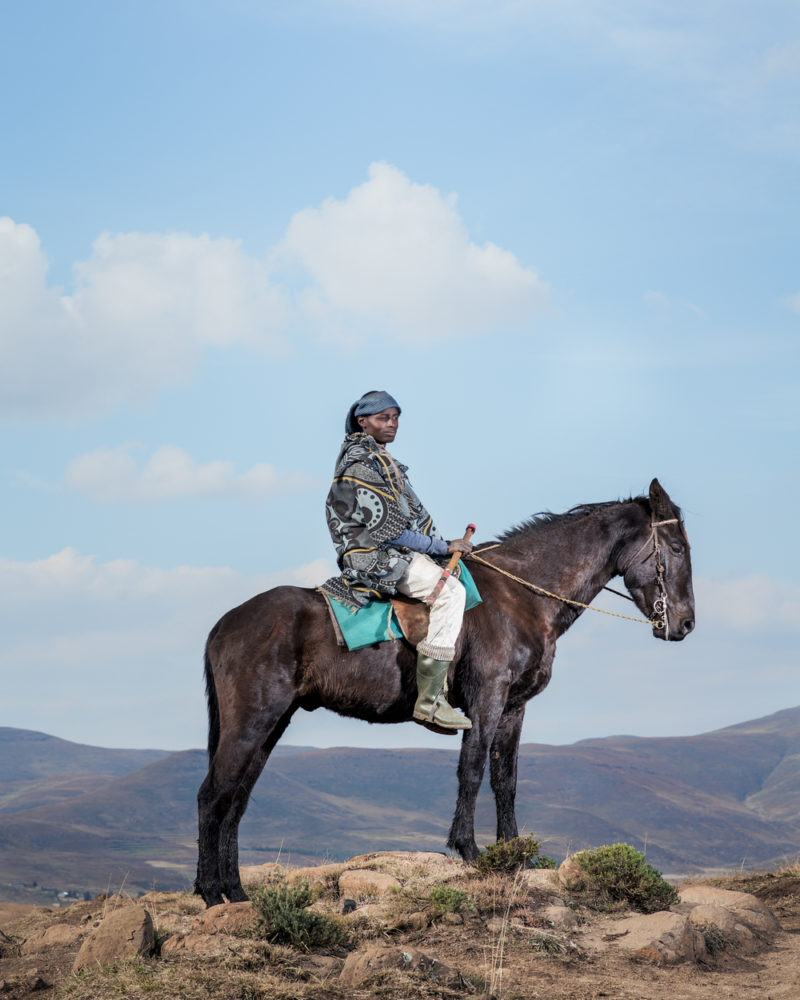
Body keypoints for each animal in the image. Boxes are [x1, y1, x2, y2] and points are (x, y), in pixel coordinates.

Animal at [195, 476, 692, 908]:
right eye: (677, 547)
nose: (685, 624)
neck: (521, 598)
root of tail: (224, 623)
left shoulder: (513, 708)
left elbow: (506, 779)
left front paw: (513, 853)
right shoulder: (486, 698)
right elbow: (471, 770)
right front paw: (468, 848)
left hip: (272, 724)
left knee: (236, 800)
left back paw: (235, 891)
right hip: (251, 722)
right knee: (213, 795)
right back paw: (209, 891)